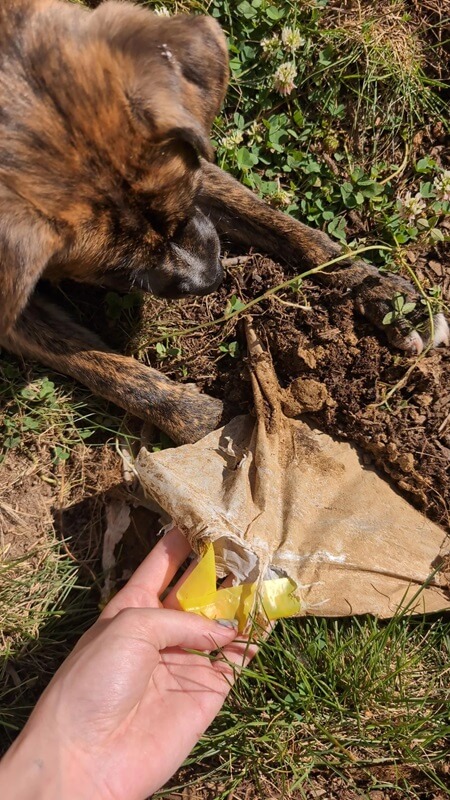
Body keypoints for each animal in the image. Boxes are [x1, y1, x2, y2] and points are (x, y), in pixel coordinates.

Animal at [0, 0, 448, 444]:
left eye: (184, 212)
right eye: (119, 273)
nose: (213, 279)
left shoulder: (198, 166)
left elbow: (289, 228)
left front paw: (385, 293)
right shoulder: (13, 311)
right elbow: (102, 366)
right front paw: (197, 414)